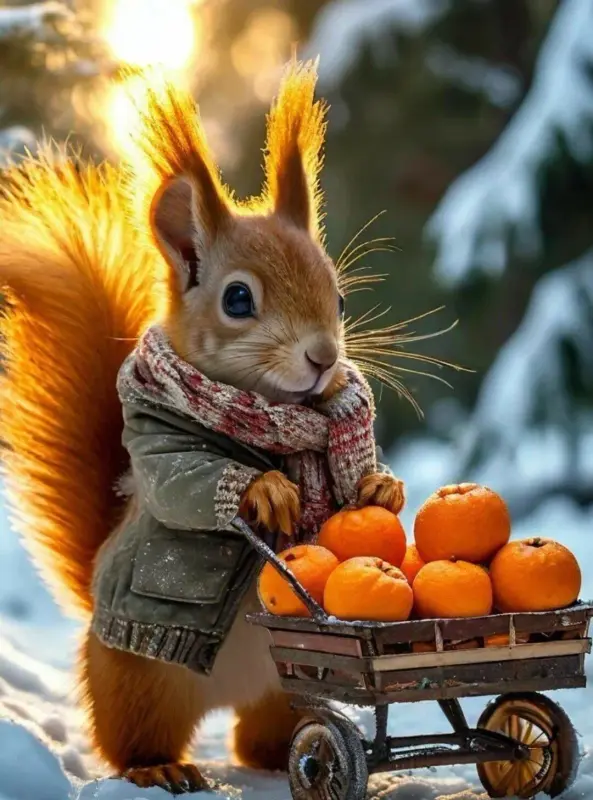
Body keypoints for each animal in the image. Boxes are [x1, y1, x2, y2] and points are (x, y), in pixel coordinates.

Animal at [0, 61, 404, 794]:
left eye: (337, 297)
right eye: (237, 299)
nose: (323, 358)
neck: (268, 412)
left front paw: (381, 488)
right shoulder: (157, 438)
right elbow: (179, 481)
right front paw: (263, 490)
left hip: (291, 683)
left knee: (265, 735)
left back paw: (284, 756)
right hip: (141, 680)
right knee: (132, 738)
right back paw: (160, 766)